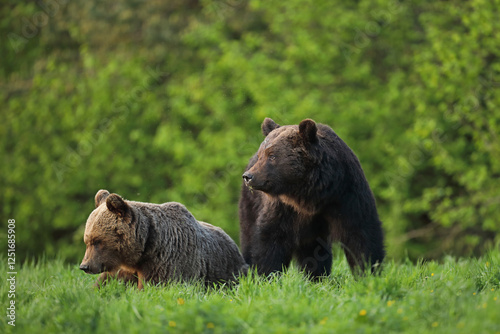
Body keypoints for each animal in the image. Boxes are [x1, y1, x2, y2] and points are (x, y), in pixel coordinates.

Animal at [79, 189, 248, 288]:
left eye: (97, 241)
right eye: (87, 241)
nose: (85, 266)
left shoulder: (165, 263)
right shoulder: (122, 270)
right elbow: (105, 284)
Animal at [240, 118, 384, 278]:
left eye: (272, 155)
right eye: (261, 155)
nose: (248, 176)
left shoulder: (346, 195)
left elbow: (360, 234)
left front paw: (368, 272)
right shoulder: (283, 208)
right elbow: (270, 239)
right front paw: (266, 274)